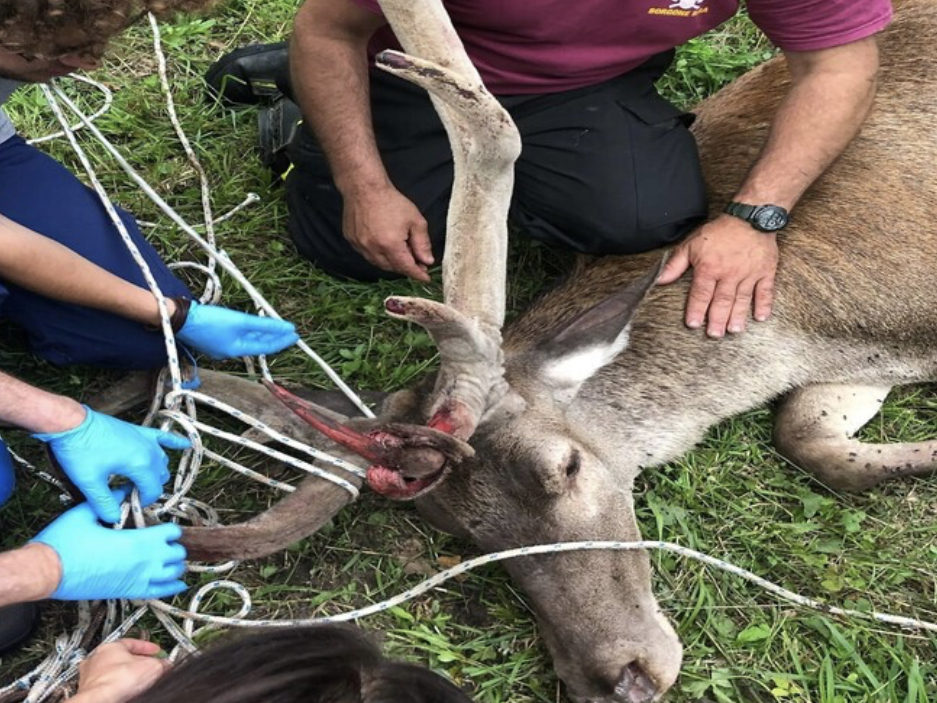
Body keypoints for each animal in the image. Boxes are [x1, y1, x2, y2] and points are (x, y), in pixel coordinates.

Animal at [91, 2, 932, 700]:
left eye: (562, 466)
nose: (618, 676)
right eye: (467, 535)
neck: (805, 321)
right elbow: (805, 437)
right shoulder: (851, 367)